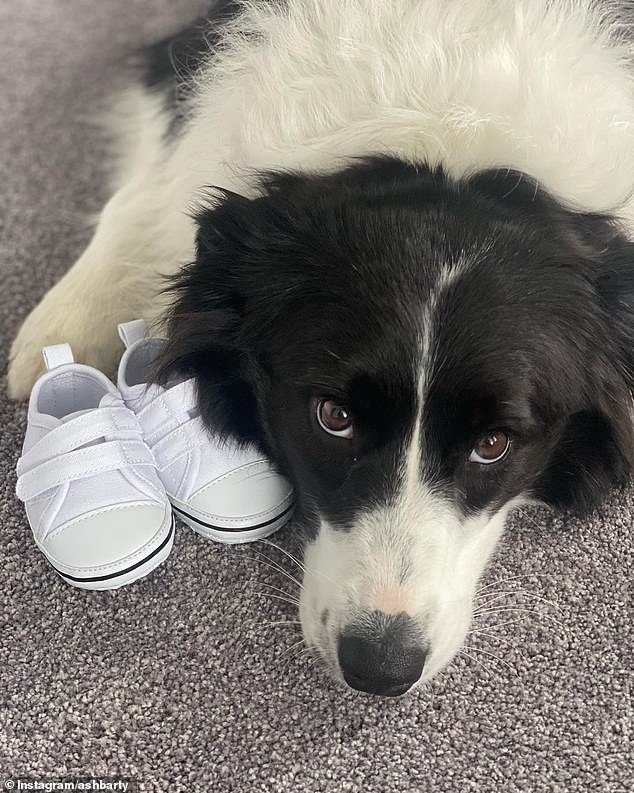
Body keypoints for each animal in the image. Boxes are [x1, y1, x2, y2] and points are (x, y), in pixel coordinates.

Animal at [8, 0, 632, 692]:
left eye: (493, 444)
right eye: (332, 417)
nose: (380, 669)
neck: (444, 129)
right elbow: (142, 186)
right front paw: (59, 327)